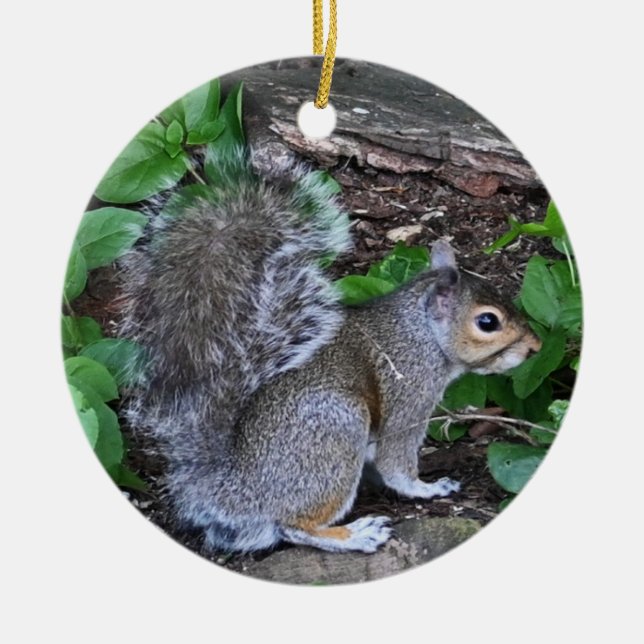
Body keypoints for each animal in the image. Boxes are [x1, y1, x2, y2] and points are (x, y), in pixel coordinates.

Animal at [119, 148, 542, 554]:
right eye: (487, 322)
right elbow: (396, 464)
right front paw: (429, 488)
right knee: (293, 526)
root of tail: (233, 492)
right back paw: (355, 535)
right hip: (337, 429)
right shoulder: (410, 396)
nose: (535, 346)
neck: (420, 332)